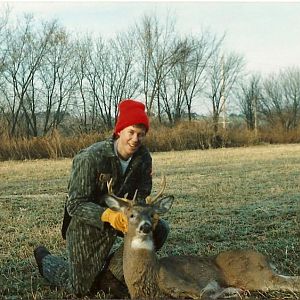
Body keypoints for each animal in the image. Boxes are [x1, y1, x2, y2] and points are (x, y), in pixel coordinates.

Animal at [103, 177, 300, 298]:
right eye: (131, 215)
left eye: (152, 215)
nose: (145, 226)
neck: (151, 275)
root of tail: (265, 258)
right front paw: (231, 292)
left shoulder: (188, 284)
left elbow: (204, 294)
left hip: (252, 274)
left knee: (289, 282)